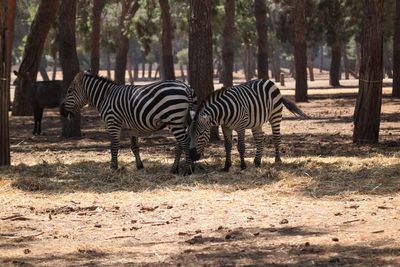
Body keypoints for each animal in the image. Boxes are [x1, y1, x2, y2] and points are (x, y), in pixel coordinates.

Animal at [59, 71, 197, 176]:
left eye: (69, 91)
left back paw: (187, 170)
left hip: (174, 119)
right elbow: (134, 147)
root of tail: (186, 87)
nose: (61, 111)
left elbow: (114, 146)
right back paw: (175, 169)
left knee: (185, 142)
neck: (105, 96)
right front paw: (140, 166)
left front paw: (113, 167)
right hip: (181, 121)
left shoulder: (113, 122)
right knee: (179, 144)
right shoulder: (132, 127)